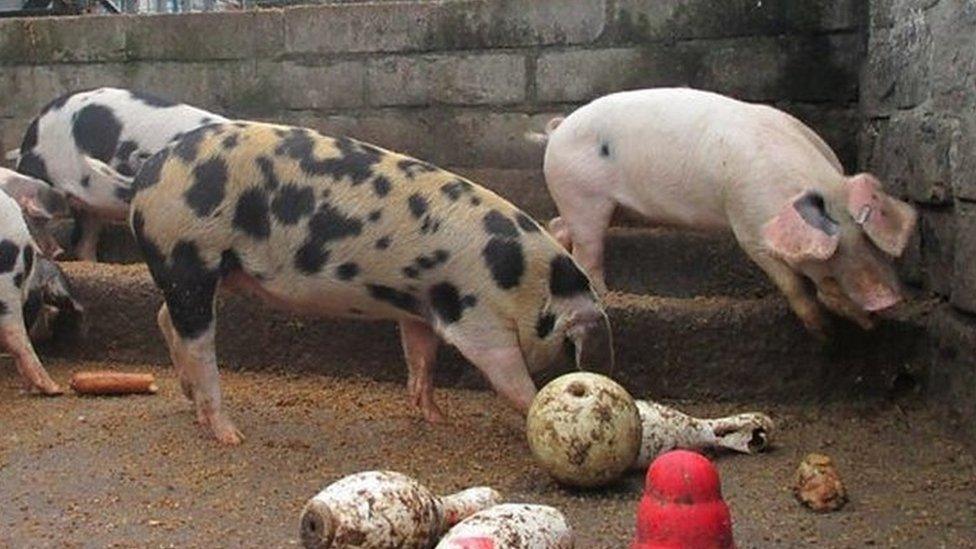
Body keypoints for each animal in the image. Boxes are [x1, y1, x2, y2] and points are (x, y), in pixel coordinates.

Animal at [13, 87, 229, 262]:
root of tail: (35, 124)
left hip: (90, 206)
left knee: (83, 242)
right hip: (38, 178)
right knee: (32, 216)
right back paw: (50, 251)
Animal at [120, 121, 608, 446]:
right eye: (571, 348)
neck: (525, 281)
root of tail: (147, 173)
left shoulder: (420, 305)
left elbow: (421, 357)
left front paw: (437, 418)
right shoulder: (477, 316)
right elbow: (508, 375)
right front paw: (537, 406)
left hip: (208, 269)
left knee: (167, 318)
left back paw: (193, 403)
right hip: (187, 251)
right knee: (198, 341)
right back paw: (229, 434)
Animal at [528, 88, 920, 336]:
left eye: (869, 238)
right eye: (828, 256)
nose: (886, 300)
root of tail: (558, 130)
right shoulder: (748, 226)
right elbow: (791, 283)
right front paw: (823, 334)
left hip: (602, 206)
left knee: (560, 226)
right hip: (583, 196)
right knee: (586, 252)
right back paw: (606, 295)